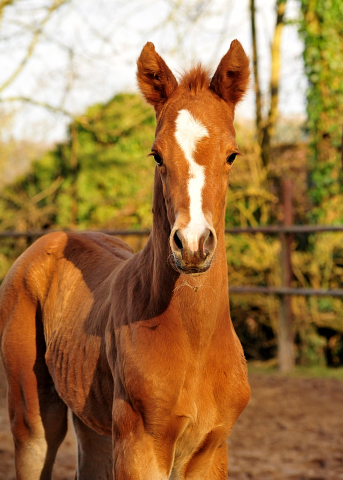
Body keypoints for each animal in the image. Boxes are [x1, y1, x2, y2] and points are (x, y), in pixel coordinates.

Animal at [0, 39, 250, 478]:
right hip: (34, 419)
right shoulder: (139, 446)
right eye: (157, 155)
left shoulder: (211, 449)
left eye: (231, 155)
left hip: (93, 423)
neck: (196, 341)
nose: (192, 244)